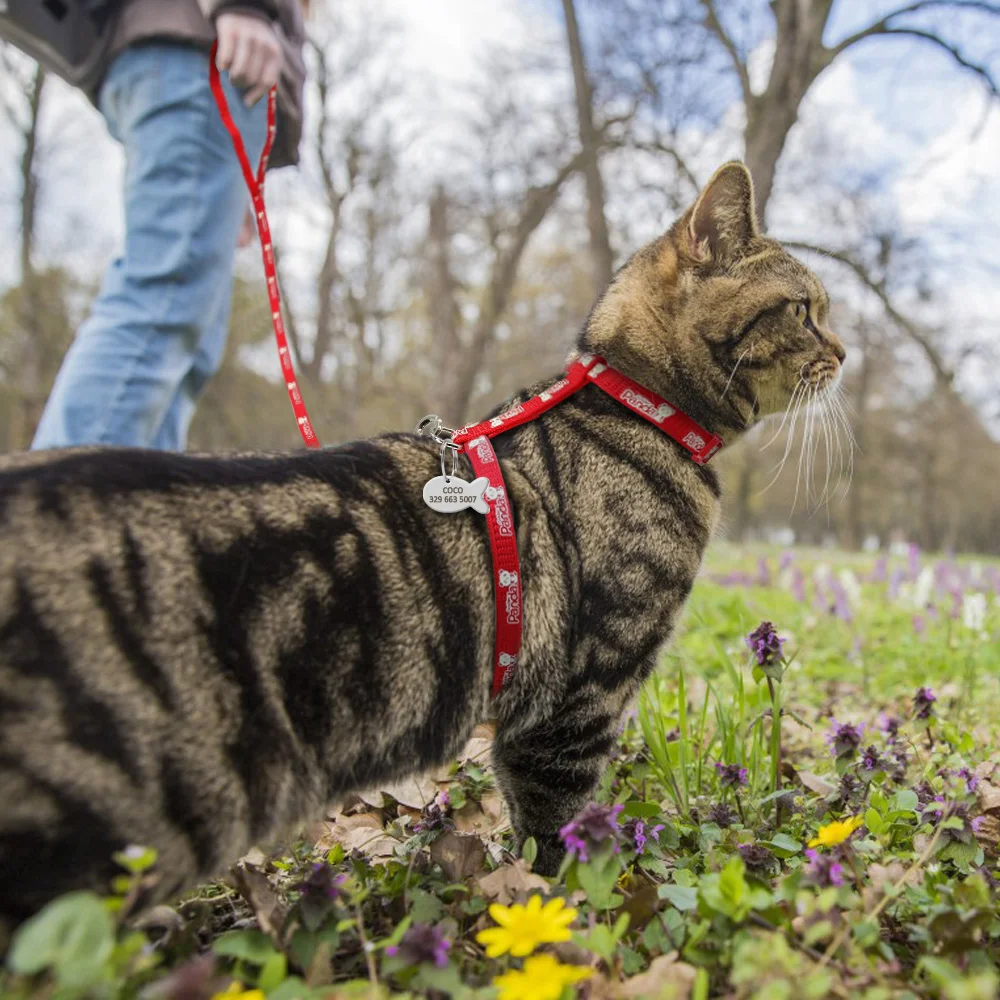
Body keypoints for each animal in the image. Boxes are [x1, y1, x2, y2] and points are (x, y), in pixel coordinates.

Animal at [0, 160, 844, 932]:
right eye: (805, 310)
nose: (844, 350)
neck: (636, 409)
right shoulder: (578, 699)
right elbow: (556, 832)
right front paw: (573, 908)